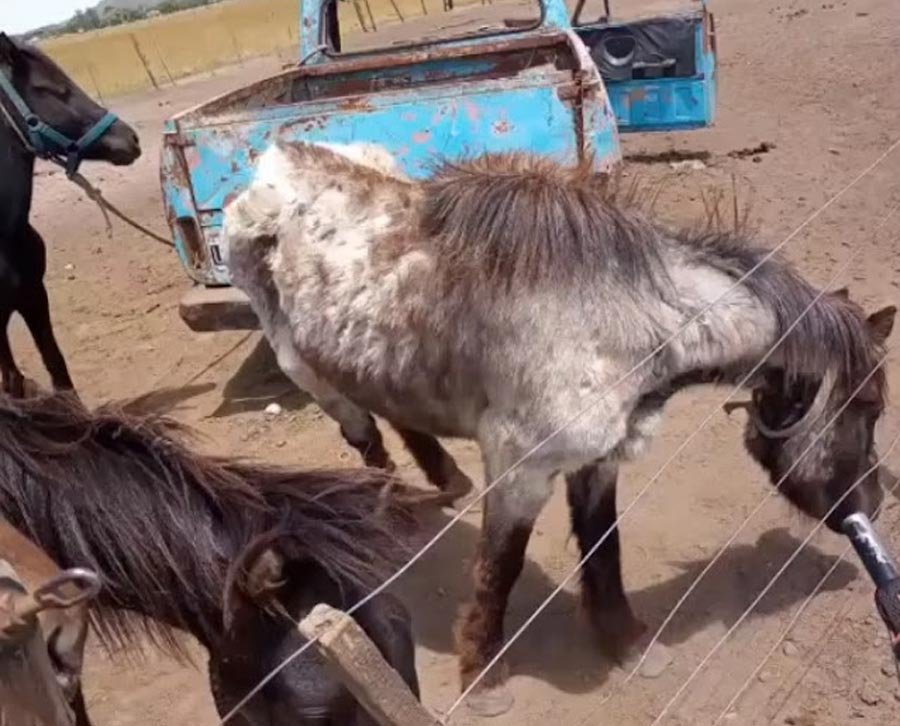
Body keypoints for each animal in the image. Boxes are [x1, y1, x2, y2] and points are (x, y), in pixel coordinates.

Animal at [223, 142, 896, 713]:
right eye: (868, 407)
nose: (875, 500)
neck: (621, 316)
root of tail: (271, 161)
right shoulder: (521, 469)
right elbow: (500, 569)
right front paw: (483, 680)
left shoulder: (599, 462)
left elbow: (603, 549)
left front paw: (627, 644)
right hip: (302, 365)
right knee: (362, 432)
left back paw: (444, 479)